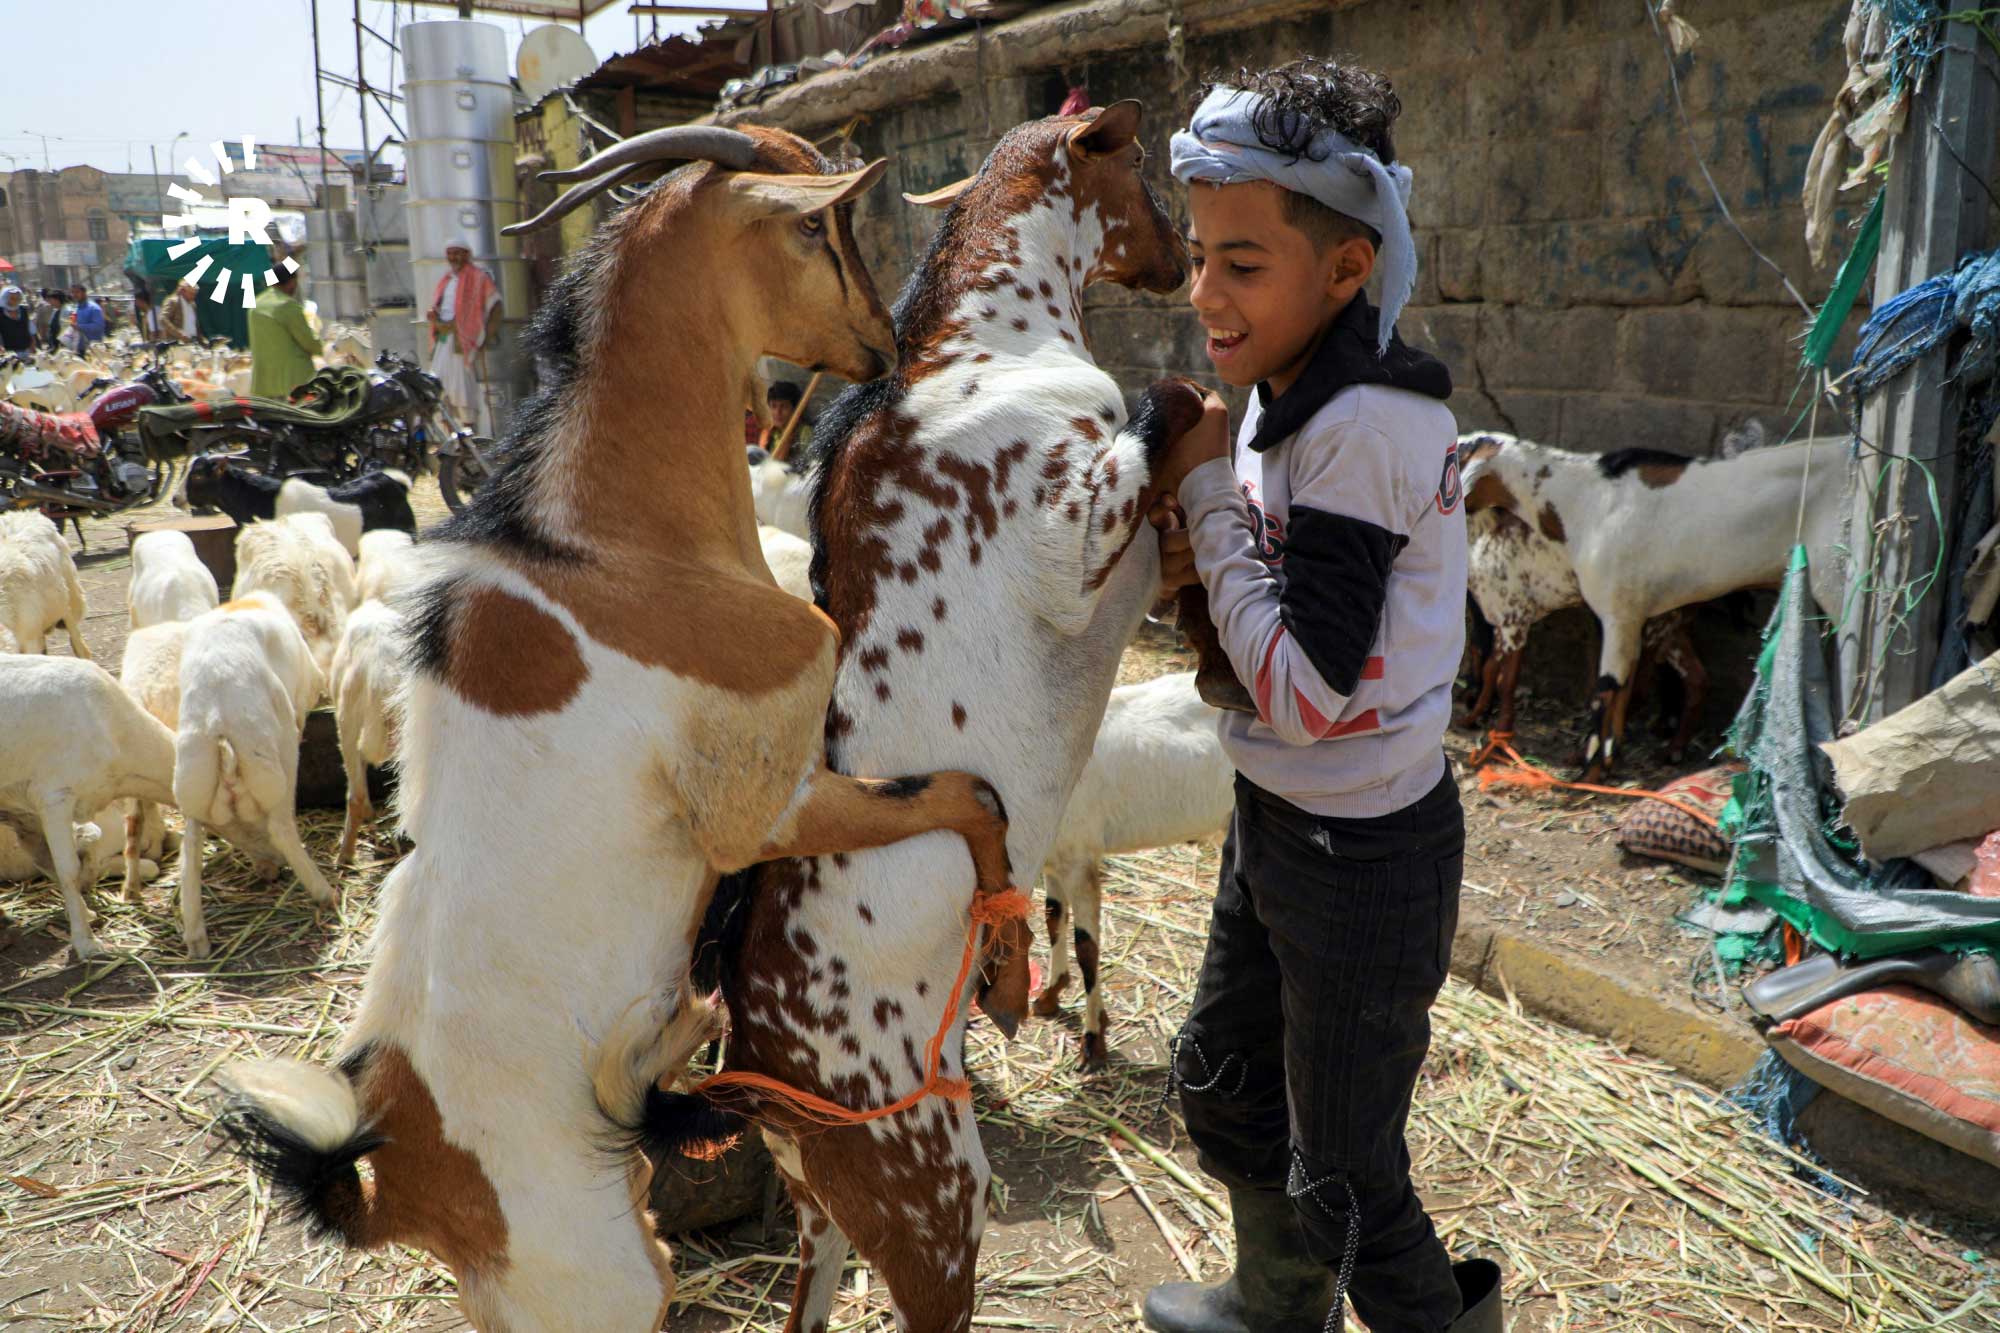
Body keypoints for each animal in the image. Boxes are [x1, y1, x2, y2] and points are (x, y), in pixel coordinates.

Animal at [0, 656, 177, 959]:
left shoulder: (25, 815)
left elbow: (49, 862)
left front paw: (87, 914)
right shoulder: (54, 797)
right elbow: (68, 870)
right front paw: (86, 944)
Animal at [172, 591, 331, 960]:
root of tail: (217, 718)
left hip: (191, 784)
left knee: (191, 851)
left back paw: (197, 940)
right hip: (279, 763)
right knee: (282, 827)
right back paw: (323, 892)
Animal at [693, 103, 1191, 1333]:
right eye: (1145, 170)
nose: (1185, 262)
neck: (980, 344)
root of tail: (760, 1071)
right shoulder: (1077, 523)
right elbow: (1172, 405)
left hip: (832, 1208)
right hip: (932, 1193)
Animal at [1036, 672, 1234, 1066]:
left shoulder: (1080, 858)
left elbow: (1087, 948)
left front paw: (1093, 1039)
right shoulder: (1055, 859)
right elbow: (1052, 919)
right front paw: (1050, 994)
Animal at [1457, 501, 1707, 762]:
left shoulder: (1515, 619)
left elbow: (1500, 678)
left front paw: (1494, 733)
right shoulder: (1506, 624)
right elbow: (1493, 672)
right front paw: (1481, 719)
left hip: (1647, 628)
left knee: (1635, 688)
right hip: (1668, 629)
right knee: (1697, 678)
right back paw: (1674, 748)